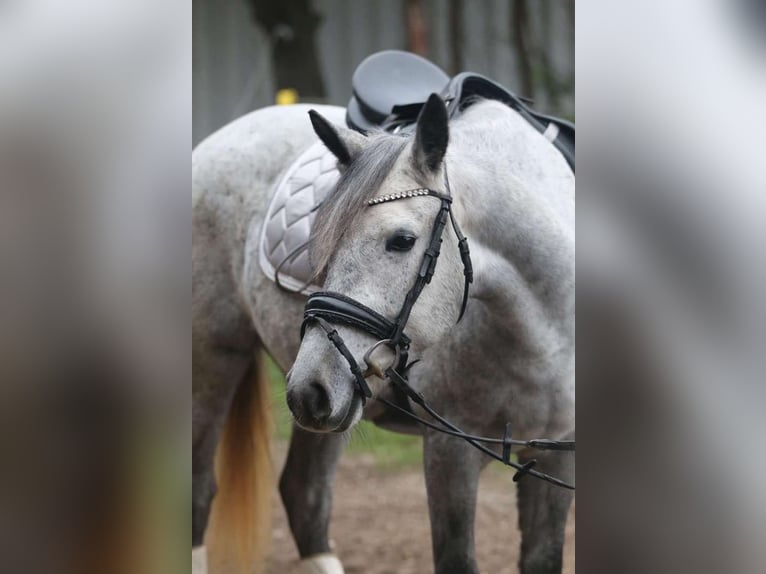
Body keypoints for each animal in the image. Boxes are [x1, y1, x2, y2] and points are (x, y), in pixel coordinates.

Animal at [192, 95, 575, 574]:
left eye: (402, 240)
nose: (308, 390)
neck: (547, 334)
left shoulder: (556, 455)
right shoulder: (450, 452)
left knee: (304, 494)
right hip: (215, 357)